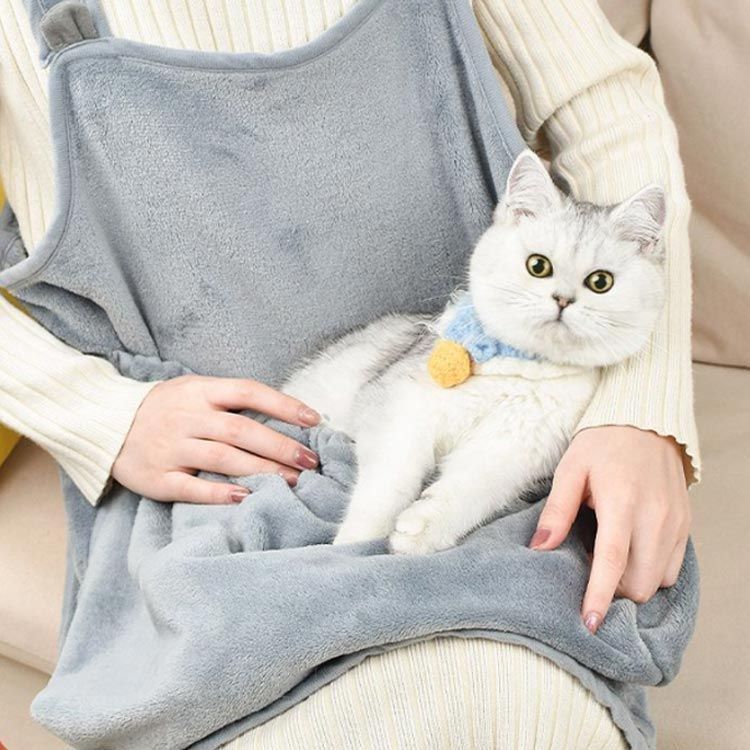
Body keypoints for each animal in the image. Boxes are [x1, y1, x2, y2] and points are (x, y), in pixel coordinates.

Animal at [282, 150, 667, 555]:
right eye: (538, 265)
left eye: (600, 282)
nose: (563, 300)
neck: (518, 368)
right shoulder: (399, 407)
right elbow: (388, 482)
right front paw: (356, 538)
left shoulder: (513, 448)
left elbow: (471, 489)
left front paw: (421, 531)